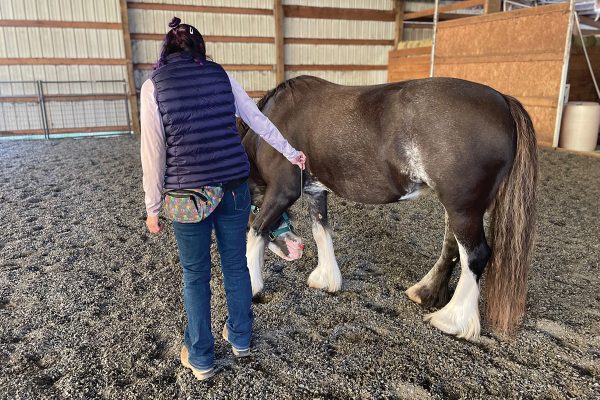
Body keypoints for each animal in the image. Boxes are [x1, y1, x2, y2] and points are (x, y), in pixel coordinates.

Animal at [239, 74, 540, 338]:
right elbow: (320, 231)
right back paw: (425, 293)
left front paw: (251, 287)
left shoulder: (283, 191)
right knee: (453, 249)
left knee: (476, 255)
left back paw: (451, 320)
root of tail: (502, 101)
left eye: (250, 209)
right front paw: (325, 279)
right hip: (459, 208)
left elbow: (256, 231)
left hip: (463, 208)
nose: (295, 249)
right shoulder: (315, 191)